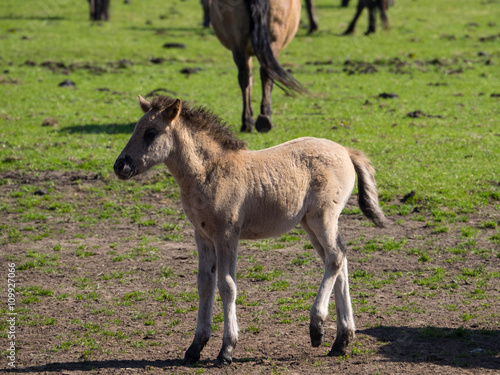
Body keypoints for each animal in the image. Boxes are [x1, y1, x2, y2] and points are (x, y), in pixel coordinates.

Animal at [115, 94, 388, 368]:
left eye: (150, 133)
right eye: (135, 129)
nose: (120, 166)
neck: (209, 171)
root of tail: (346, 151)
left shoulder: (227, 234)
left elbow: (227, 286)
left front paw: (227, 349)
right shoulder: (202, 235)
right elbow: (205, 284)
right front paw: (195, 347)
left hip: (322, 218)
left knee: (335, 258)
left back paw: (317, 327)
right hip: (309, 223)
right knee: (340, 259)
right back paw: (342, 340)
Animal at [209, 0, 306, 133]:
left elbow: (250, 80)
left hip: (239, 43)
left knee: (245, 76)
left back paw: (249, 121)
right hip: (272, 42)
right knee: (264, 74)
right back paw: (263, 117)